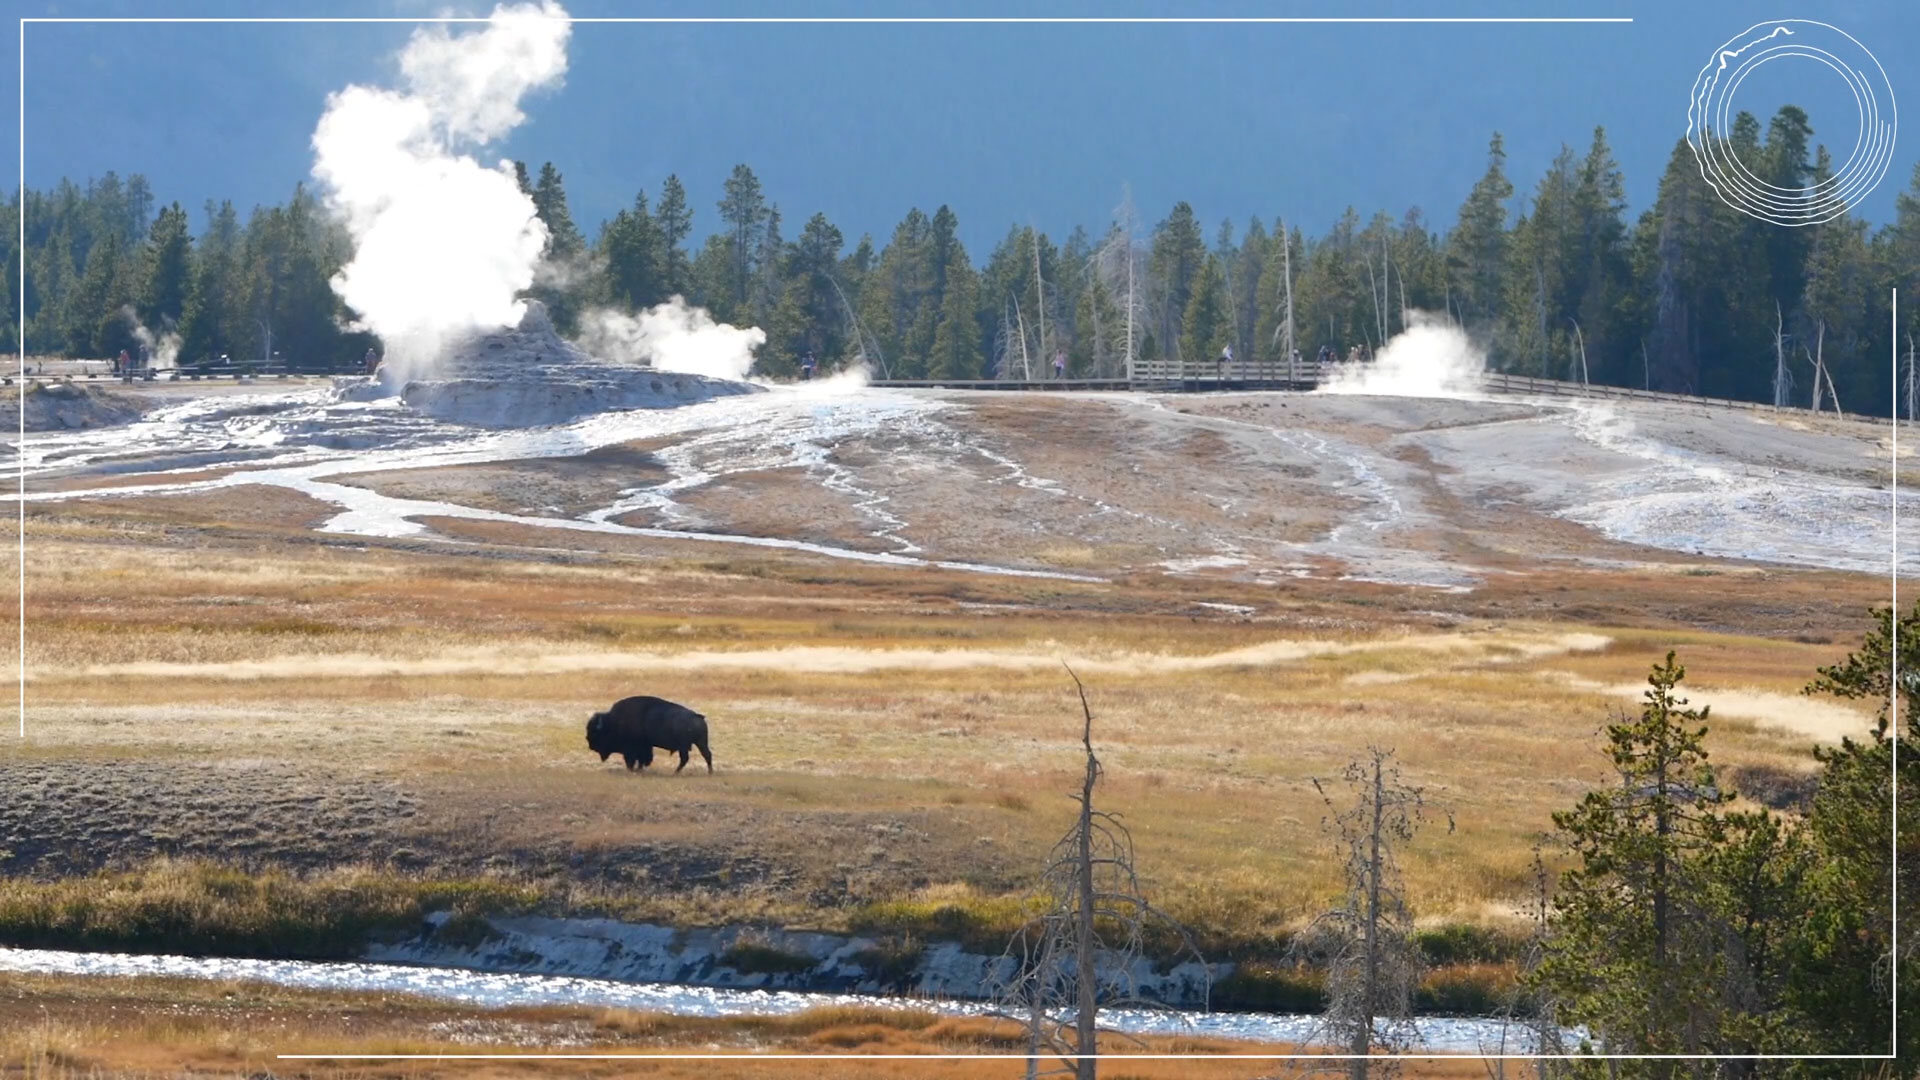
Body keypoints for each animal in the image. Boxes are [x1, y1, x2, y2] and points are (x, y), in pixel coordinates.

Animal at [583, 691, 714, 768]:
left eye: (595, 733)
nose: (591, 746)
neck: (613, 722)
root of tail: (697, 716)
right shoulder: (646, 747)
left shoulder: (634, 748)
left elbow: (634, 759)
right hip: (700, 743)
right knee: (706, 755)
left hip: (685, 746)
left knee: (686, 759)